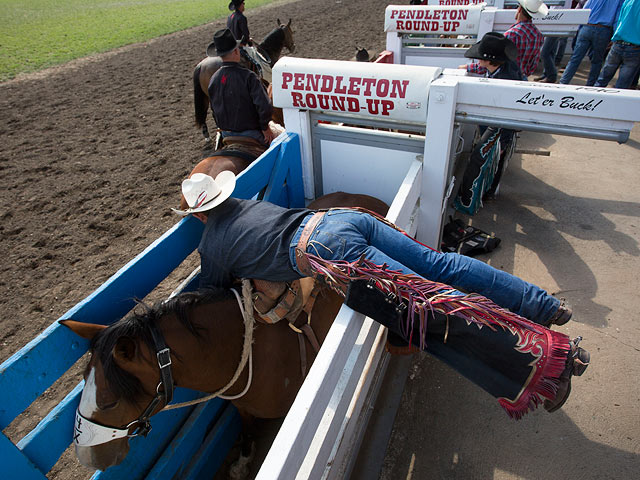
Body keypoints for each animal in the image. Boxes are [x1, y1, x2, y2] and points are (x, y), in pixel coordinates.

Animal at [62, 191, 388, 472]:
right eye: (83, 381)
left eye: (109, 402)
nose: (87, 457)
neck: (251, 346)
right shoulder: (242, 408)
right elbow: (246, 430)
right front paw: (242, 462)